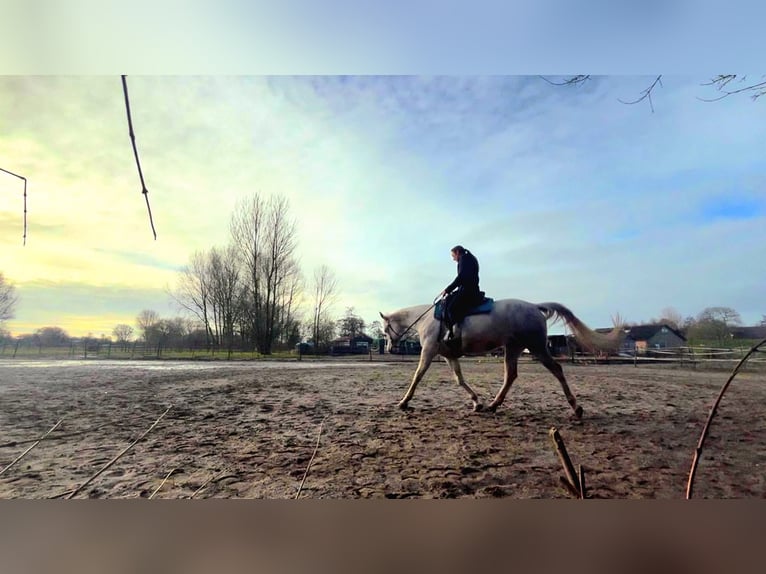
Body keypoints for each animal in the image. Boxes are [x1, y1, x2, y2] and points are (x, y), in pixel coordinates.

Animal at [379, 298, 621, 418]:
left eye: (385, 329)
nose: (390, 348)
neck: (427, 319)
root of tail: (534, 306)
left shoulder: (429, 351)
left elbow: (418, 376)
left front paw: (403, 402)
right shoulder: (448, 355)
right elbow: (459, 379)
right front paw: (476, 402)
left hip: (536, 347)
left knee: (556, 370)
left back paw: (576, 407)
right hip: (513, 348)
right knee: (511, 375)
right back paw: (493, 405)